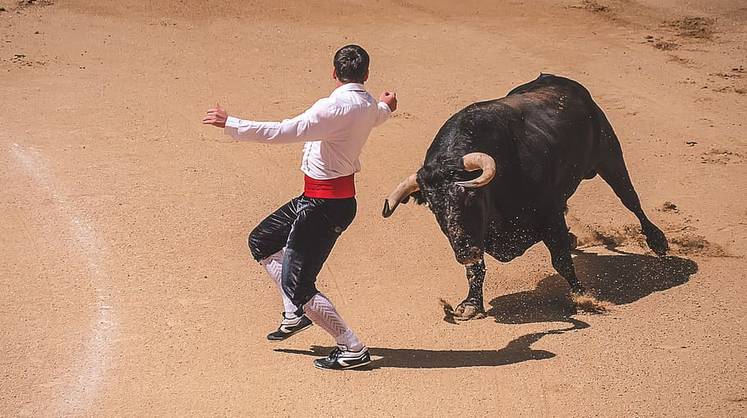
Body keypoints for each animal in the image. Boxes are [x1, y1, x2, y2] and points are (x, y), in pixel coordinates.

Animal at [382, 72, 668, 320]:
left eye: (470, 196)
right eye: (433, 206)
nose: (464, 252)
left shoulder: (549, 214)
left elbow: (561, 259)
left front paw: (582, 295)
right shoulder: (478, 236)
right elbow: (475, 269)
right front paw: (471, 304)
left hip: (609, 157)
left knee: (630, 200)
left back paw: (658, 241)